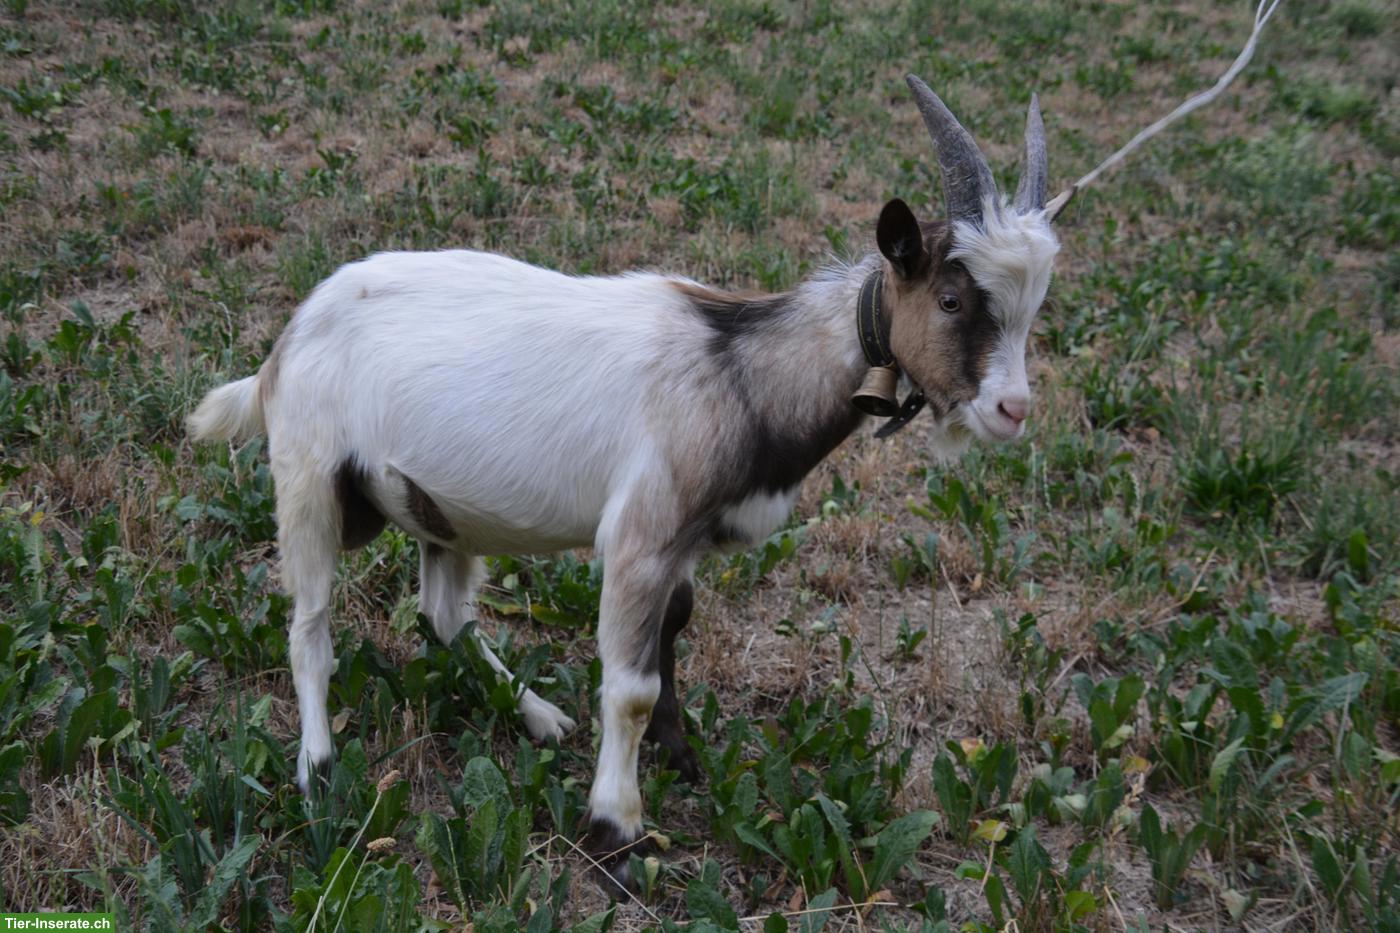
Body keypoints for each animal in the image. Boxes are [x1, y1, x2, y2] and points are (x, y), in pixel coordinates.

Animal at [188, 76, 1061, 884]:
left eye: (1031, 309)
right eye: (950, 298)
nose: (1013, 409)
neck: (736, 368)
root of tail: (287, 339)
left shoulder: (684, 538)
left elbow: (675, 627)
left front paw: (681, 755)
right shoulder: (643, 534)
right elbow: (631, 683)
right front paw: (616, 826)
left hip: (438, 506)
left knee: (443, 612)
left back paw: (538, 714)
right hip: (307, 479)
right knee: (310, 623)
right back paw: (318, 768)